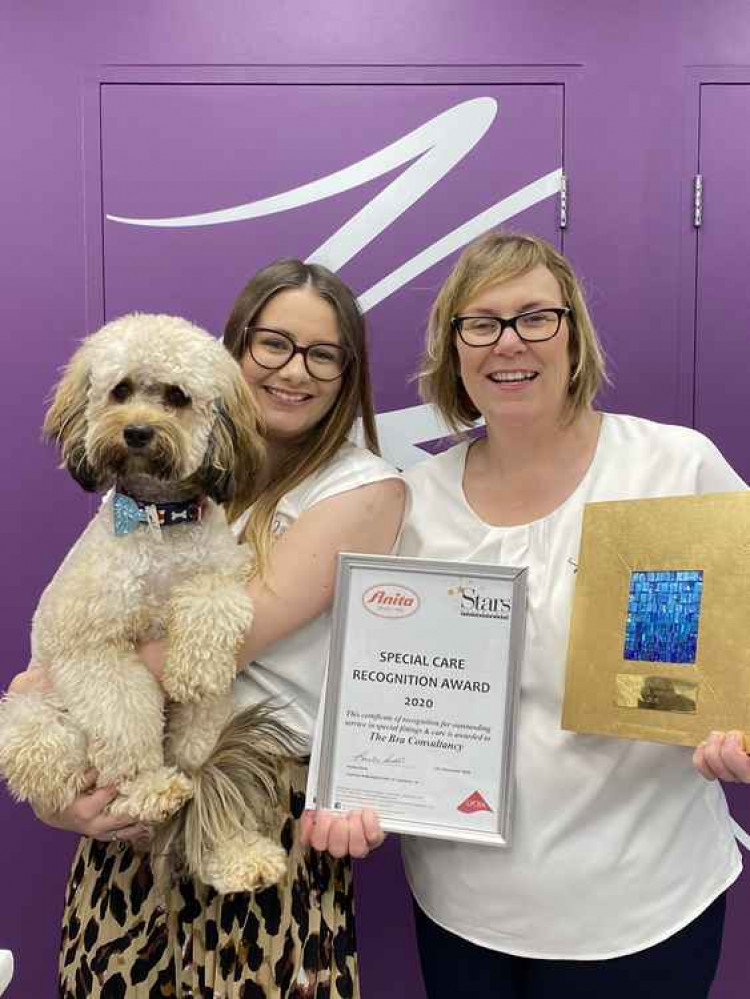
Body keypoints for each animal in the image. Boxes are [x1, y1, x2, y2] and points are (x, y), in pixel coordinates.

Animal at [0, 314, 300, 892]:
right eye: (120, 391)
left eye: (176, 396)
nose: (137, 431)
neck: (159, 521)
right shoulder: (91, 645)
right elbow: (125, 713)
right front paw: (147, 783)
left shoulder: (220, 578)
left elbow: (209, 626)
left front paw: (193, 671)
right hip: (33, 723)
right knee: (83, 766)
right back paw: (146, 793)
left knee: (204, 785)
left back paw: (237, 853)